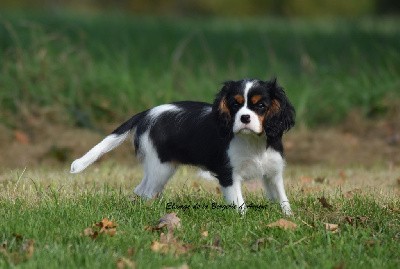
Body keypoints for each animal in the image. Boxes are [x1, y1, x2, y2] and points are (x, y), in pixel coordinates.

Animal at [70, 77, 296, 214]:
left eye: (261, 106)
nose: (245, 117)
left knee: (141, 190)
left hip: (159, 167)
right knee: (146, 191)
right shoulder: (229, 174)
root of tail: (146, 113)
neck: (254, 141)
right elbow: (238, 202)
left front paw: (288, 216)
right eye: (235, 105)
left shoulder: (273, 173)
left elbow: (282, 197)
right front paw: (243, 219)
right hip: (160, 166)